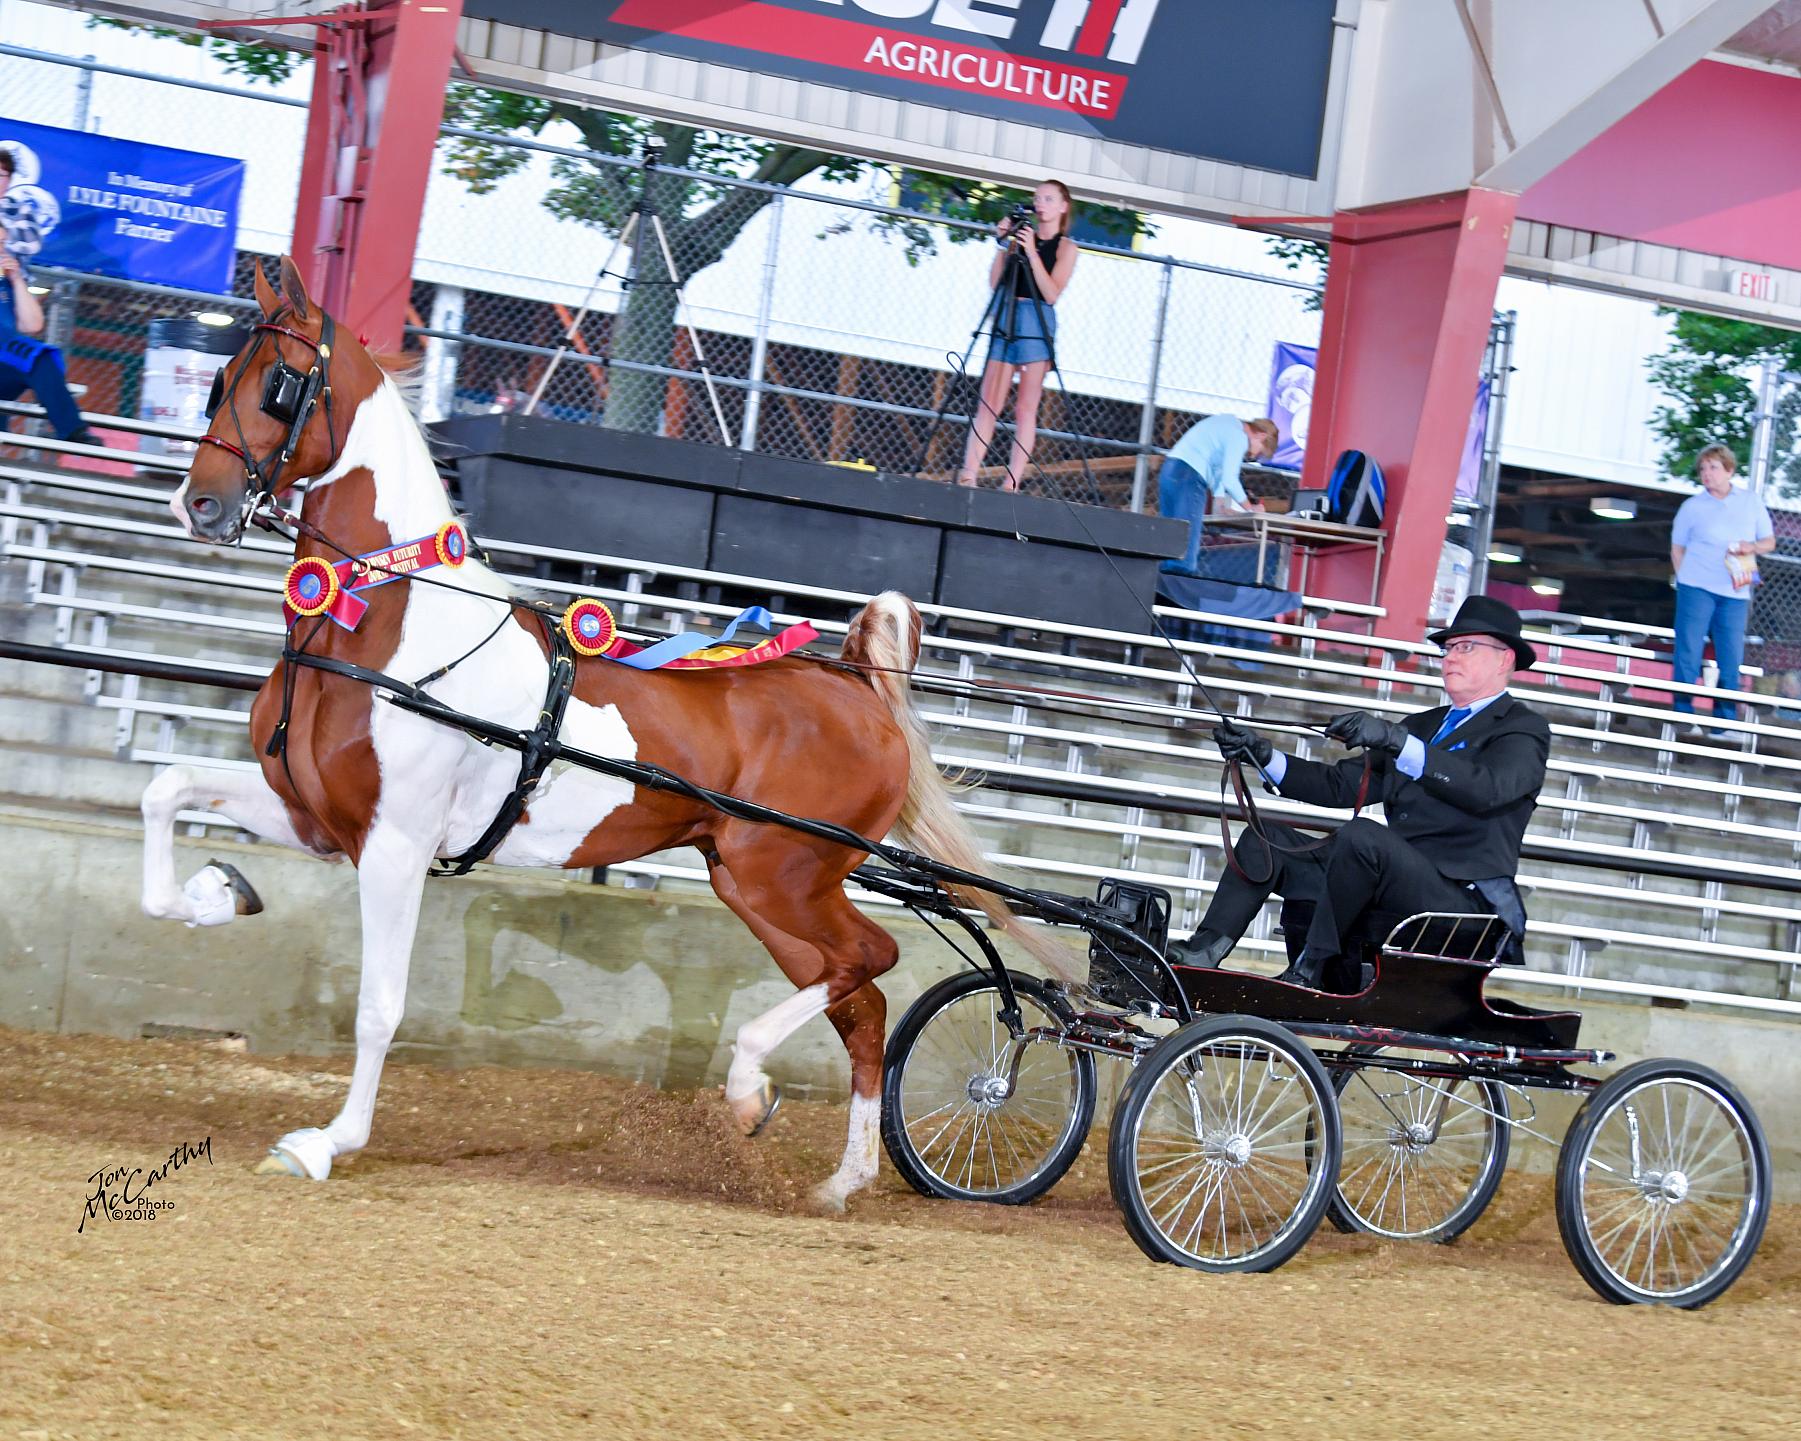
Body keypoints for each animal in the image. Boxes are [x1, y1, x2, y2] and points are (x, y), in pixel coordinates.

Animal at [147, 255, 1066, 1203]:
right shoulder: (316, 816)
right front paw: (217, 891)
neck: (387, 627)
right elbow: (166, 789)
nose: (198, 504)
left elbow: (379, 1006)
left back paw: (750, 1084)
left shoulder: (395, 843)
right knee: (859, 999)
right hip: (755, 884)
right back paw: (833, 1176)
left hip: (786, 877)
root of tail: (852, 683)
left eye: (281, 385)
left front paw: (328, 1142)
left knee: (870, 960)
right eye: (218, 378)